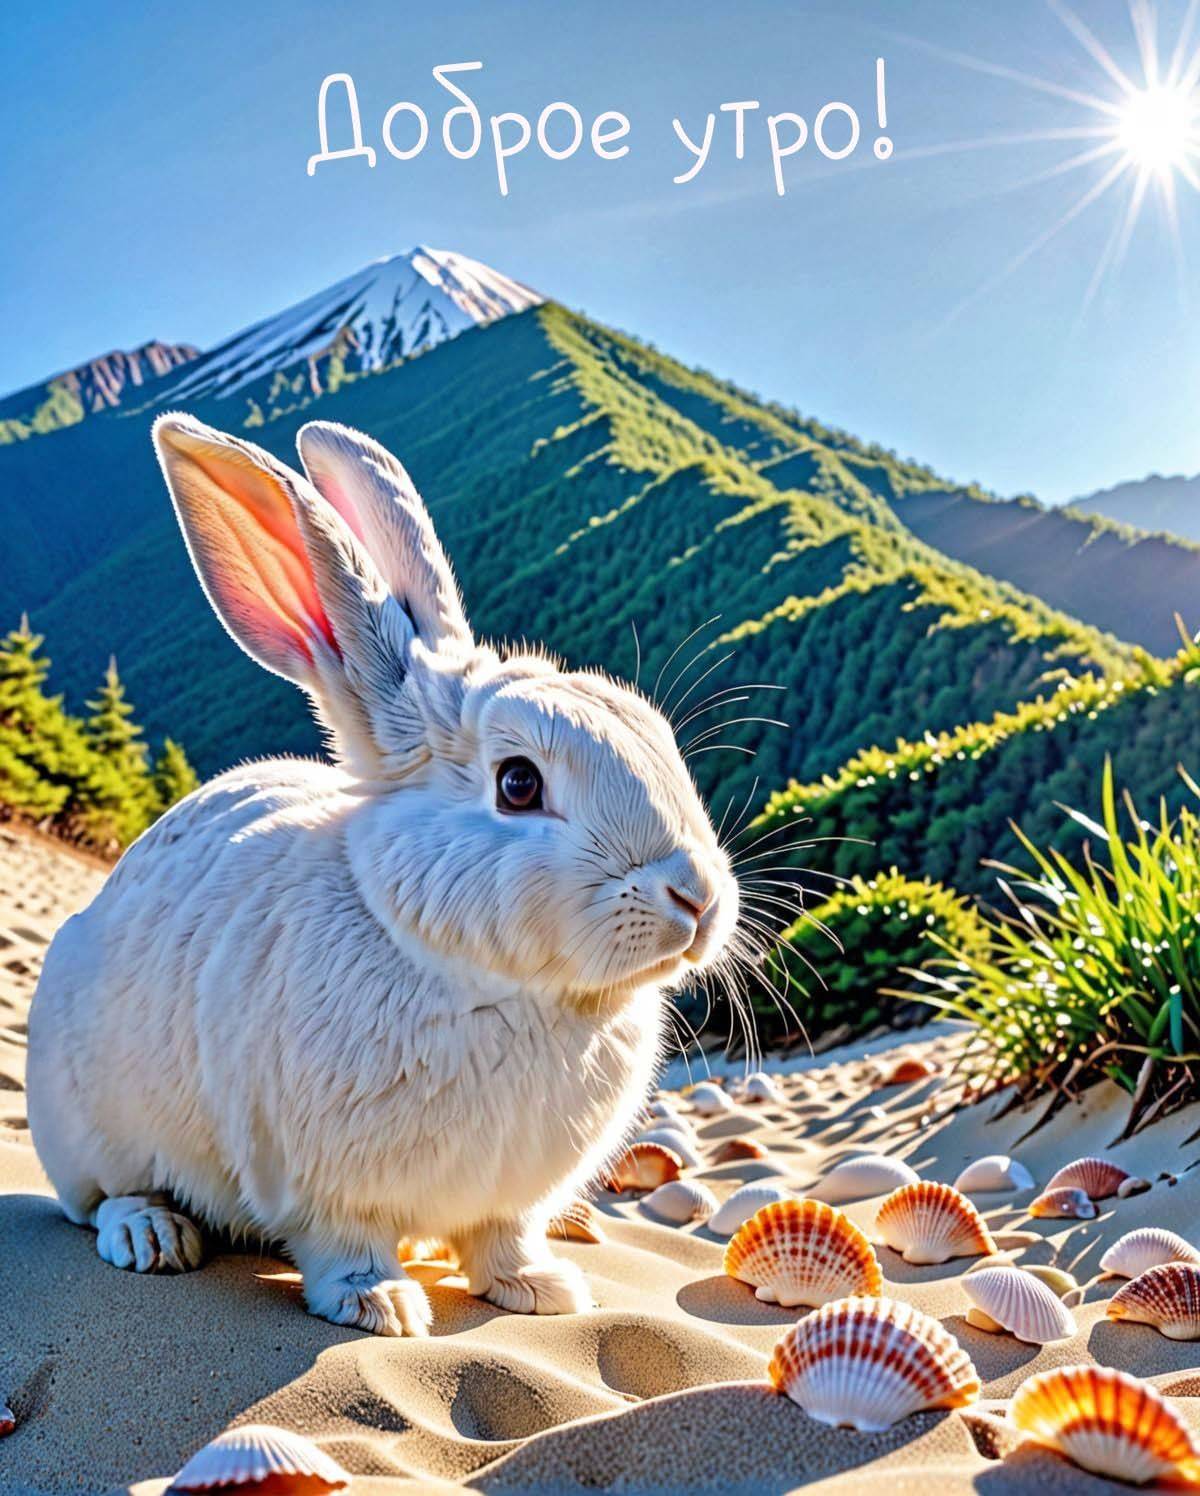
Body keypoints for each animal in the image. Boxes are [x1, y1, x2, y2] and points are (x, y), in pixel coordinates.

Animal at [25, 414, 739, 1336]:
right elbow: (343, 1244)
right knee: (97, 1199)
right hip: (82, 1124)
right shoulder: (320, 1187)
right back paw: (151, 1234)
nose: (698, 898)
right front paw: (384, 1308)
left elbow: (503, 1240)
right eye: (518, 784)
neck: (502, 988)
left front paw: (542, 1292)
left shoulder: (507, 1199)